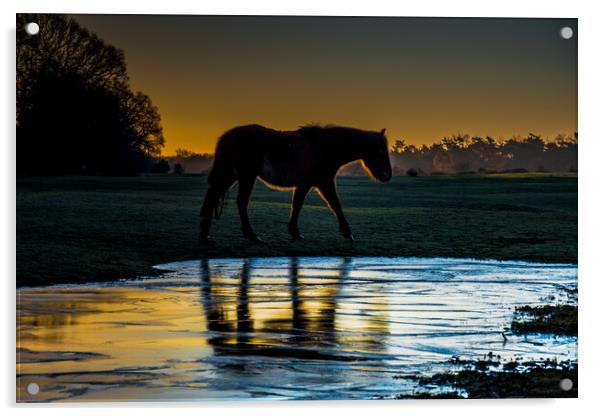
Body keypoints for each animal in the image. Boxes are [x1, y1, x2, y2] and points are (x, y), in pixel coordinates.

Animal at [199, 123, 392, 240]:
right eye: (381, 151)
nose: (387, 175)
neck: (326, 146)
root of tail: (227, 136)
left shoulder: (305, 184)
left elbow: (297, 204)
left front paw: (295, 232)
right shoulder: (324, 182)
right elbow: (336, 204)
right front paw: (347, 232)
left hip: (231, 175)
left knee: (213, 197)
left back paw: (205, 235)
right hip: (246, 177)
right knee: (240, 202)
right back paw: (252, 236)